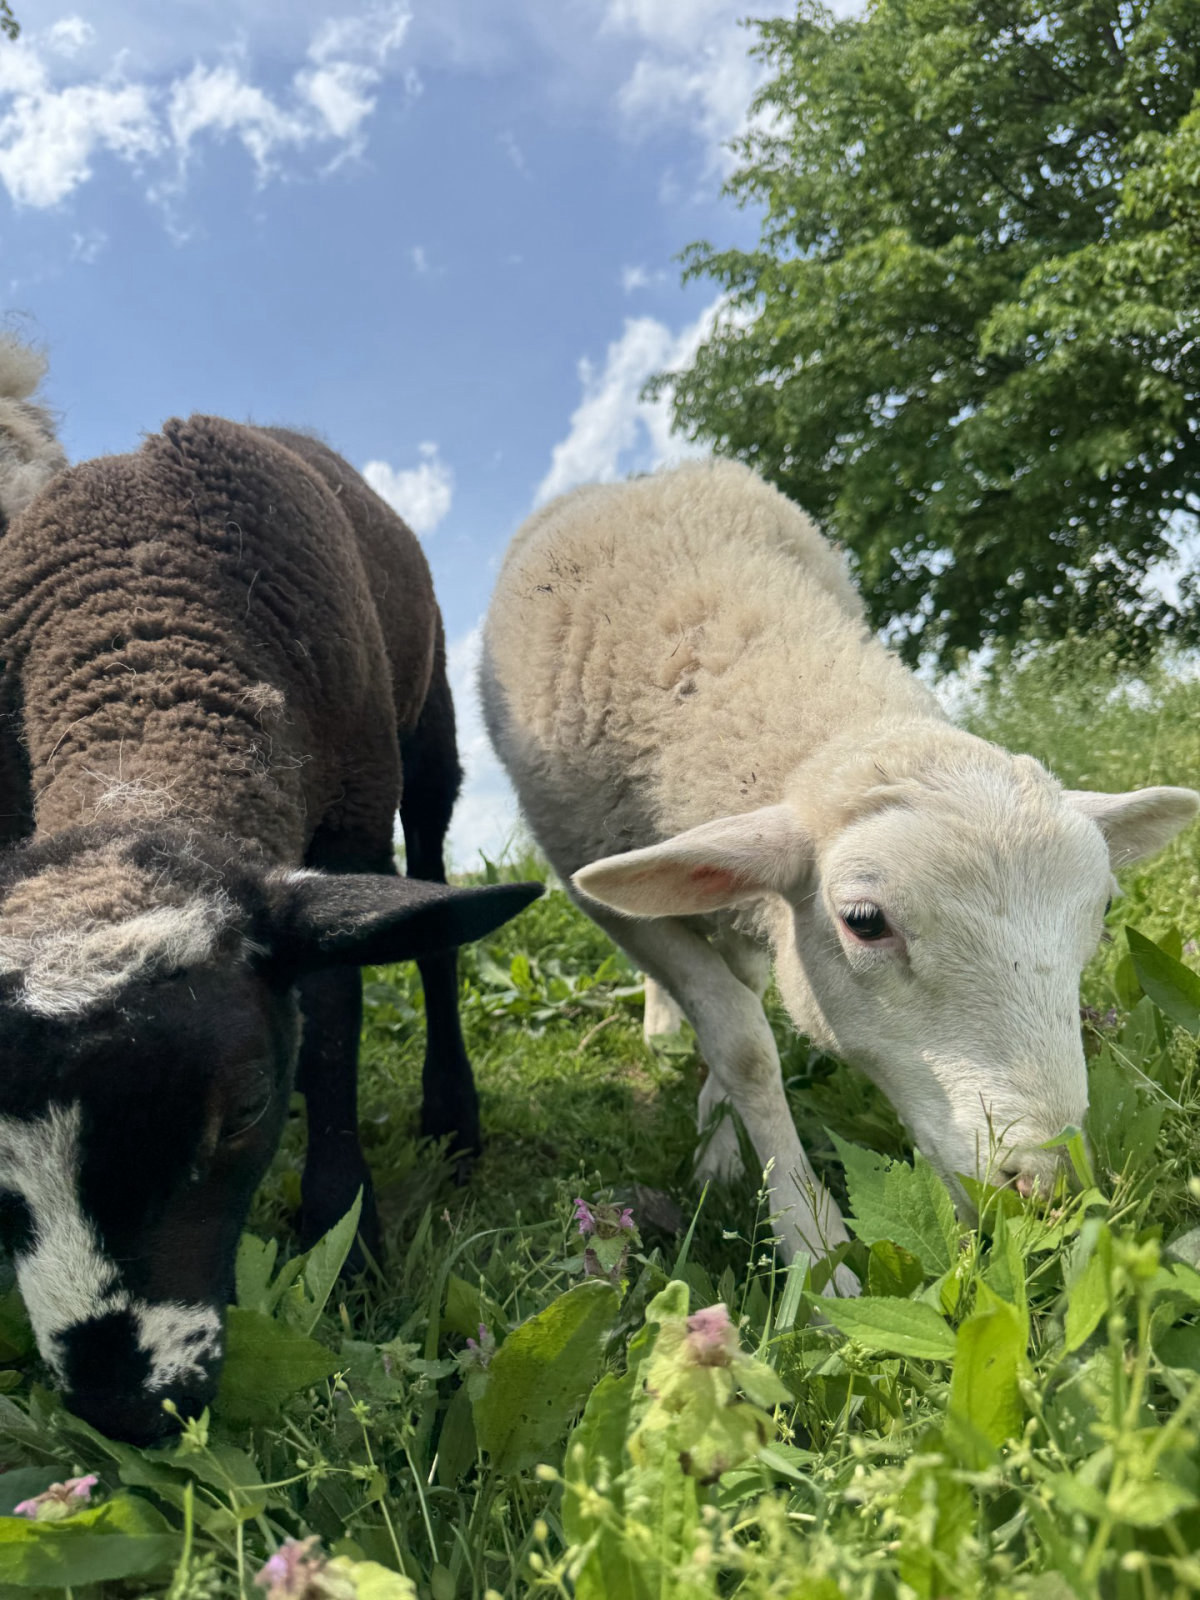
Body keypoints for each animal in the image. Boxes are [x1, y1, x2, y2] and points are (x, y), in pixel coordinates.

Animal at [0, 365, 541, 1443]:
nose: (130, 1405)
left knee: (432, 928)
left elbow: (332, 1023)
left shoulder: (350, 822)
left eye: (242, 1103)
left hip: (425, 730)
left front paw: (346, 1240)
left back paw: (451, 1117)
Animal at [481, 459, 1199, 1294]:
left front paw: (725, 1149)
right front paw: (814, 1251)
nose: (1044, 1184)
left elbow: (738, 1017)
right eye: (865, 921)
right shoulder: (598, 892)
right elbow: (744, 1045)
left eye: (1102, 910)